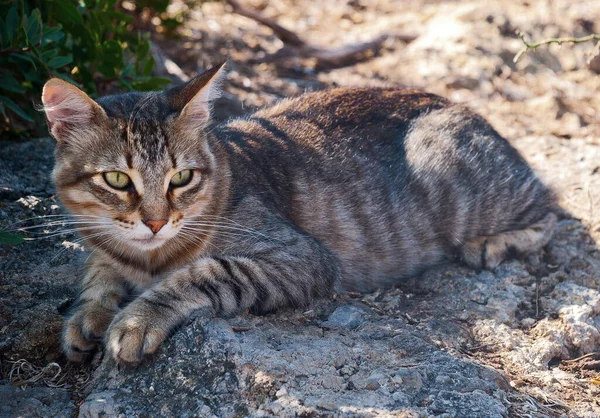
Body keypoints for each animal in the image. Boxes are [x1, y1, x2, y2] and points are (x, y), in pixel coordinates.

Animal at [42, 62, 556, 366]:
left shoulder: (302, 258)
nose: (155, 221)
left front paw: (136, 320)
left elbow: (205, 272)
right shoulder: (105, 250)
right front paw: (89, 314)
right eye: (117, 180)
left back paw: (492, 243)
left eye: (181, 178)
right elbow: (98, 273)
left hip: (457, 181)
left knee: (551, 206)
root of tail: (466, 108)